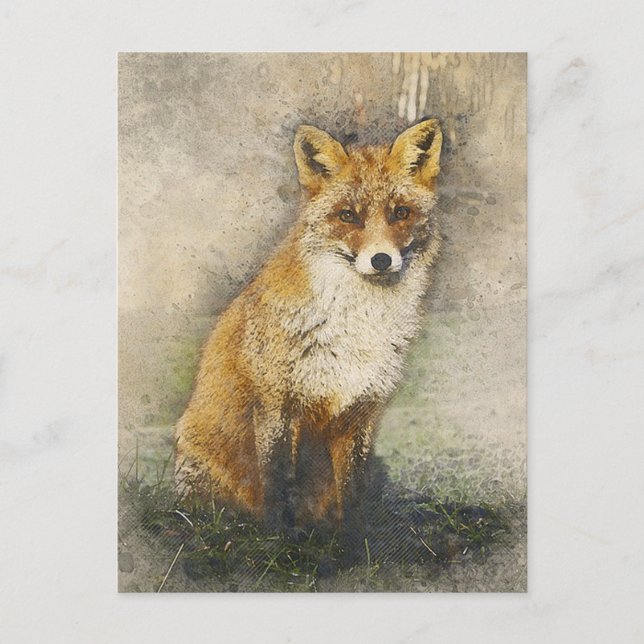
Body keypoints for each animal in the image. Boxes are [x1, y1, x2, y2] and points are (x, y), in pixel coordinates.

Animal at [175, 118, 443, 542]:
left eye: (400, 212)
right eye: (348, 216)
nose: (381, 260)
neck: (357, 327)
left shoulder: (360, 413)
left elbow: (352, 491)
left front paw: (354, 545)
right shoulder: (276, 405)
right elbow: (278, 482)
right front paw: (279, 542)